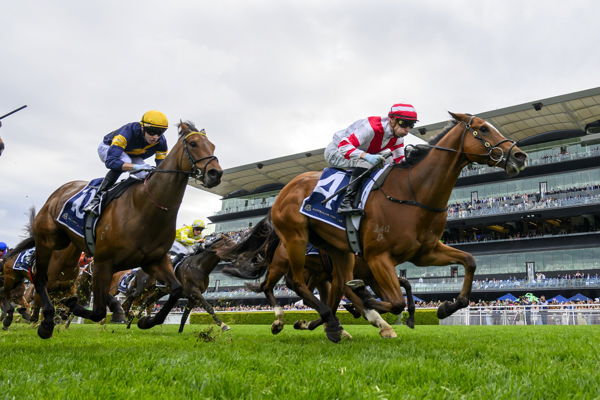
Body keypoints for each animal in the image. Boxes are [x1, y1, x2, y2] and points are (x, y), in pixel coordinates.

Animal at [31, 121, 223, 338]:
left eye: (213, 146)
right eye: (193, 143)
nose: (215, 173)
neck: (144, 207)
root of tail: (62, 189)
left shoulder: (154, 260)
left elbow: (175, 290)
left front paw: (147, 321)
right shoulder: (103, 262)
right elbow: (98, 311)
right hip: (46, 241)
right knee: (41, 278)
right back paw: (47, 321)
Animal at [270, 113, 528, 344]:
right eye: (483, 128)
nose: (520, 155)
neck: (412, 192)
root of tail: (285, 189)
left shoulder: (425, 252)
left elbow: (469, 261)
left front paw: (446, 307)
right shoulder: (377, 257)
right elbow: (394, 301)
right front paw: (367, 308)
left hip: (337, 251)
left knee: (334, 285)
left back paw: (332, 325)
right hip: (295, 238)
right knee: (295, 282)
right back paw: (313, 321)